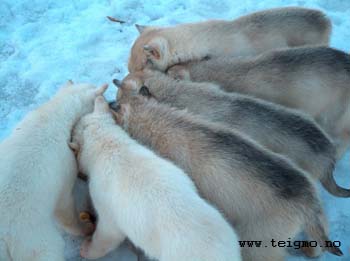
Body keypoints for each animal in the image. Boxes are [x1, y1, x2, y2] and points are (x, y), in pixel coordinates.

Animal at [0, 80, 107, 258]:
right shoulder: (64, 162)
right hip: (29, 238)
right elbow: (64, 207)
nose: (110, 101)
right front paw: (86, 227)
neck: (53, 114)